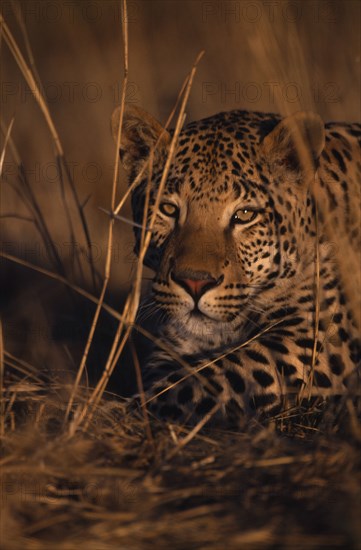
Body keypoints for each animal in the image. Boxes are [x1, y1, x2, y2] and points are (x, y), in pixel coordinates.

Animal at [111, 104, 358, 432]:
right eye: (168, 209)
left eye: (244, 215)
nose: (195, 283)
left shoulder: (317, 339)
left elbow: (209, 377)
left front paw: (123, 412)